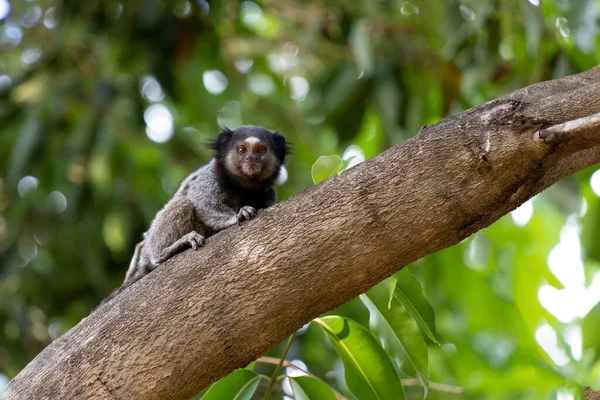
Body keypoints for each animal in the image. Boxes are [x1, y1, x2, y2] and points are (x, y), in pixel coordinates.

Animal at [102, 126, 288, 302]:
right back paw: (166, 252)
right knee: (182, 203)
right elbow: (202, 202)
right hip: (150, 246)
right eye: (242, 150)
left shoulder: (268, 193)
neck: (243, 188)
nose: (251, 158)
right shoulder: (210, 178)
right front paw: (237, 216)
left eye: (261, 150)